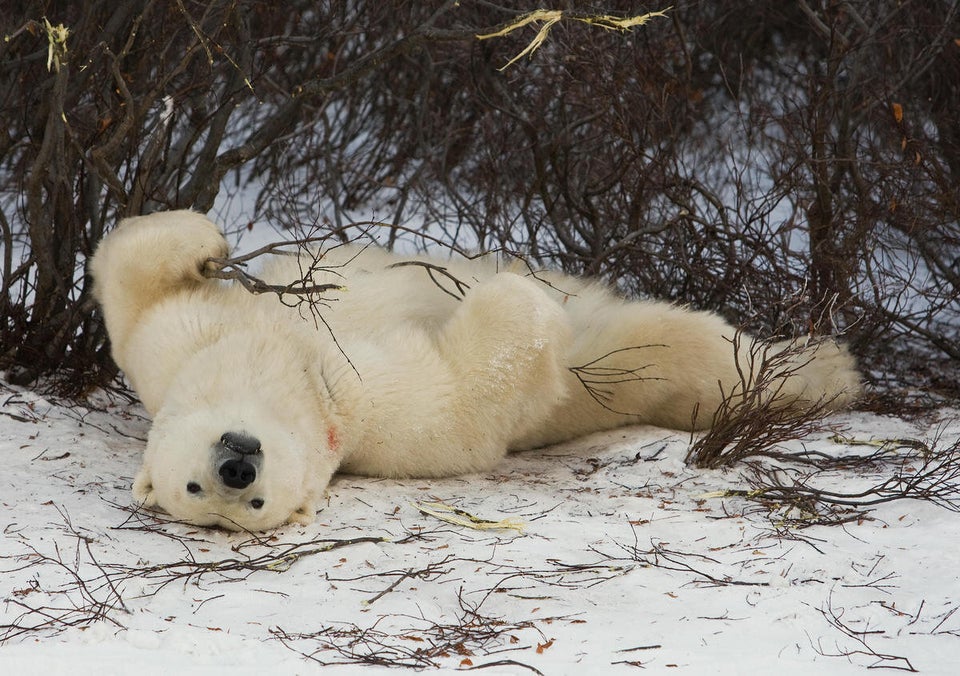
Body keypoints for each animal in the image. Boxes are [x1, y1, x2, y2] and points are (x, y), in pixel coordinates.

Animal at [88, 210, 856, 528]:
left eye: (234, 490)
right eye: (197, 491)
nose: (237, 467)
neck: (285, 369)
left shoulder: (178, 344)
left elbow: (130, 276)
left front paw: (209, 245)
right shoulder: (378, 416)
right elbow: (471, 395)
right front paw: (514, 300)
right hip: (637, 374)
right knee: (678, 355)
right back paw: (825, 373)